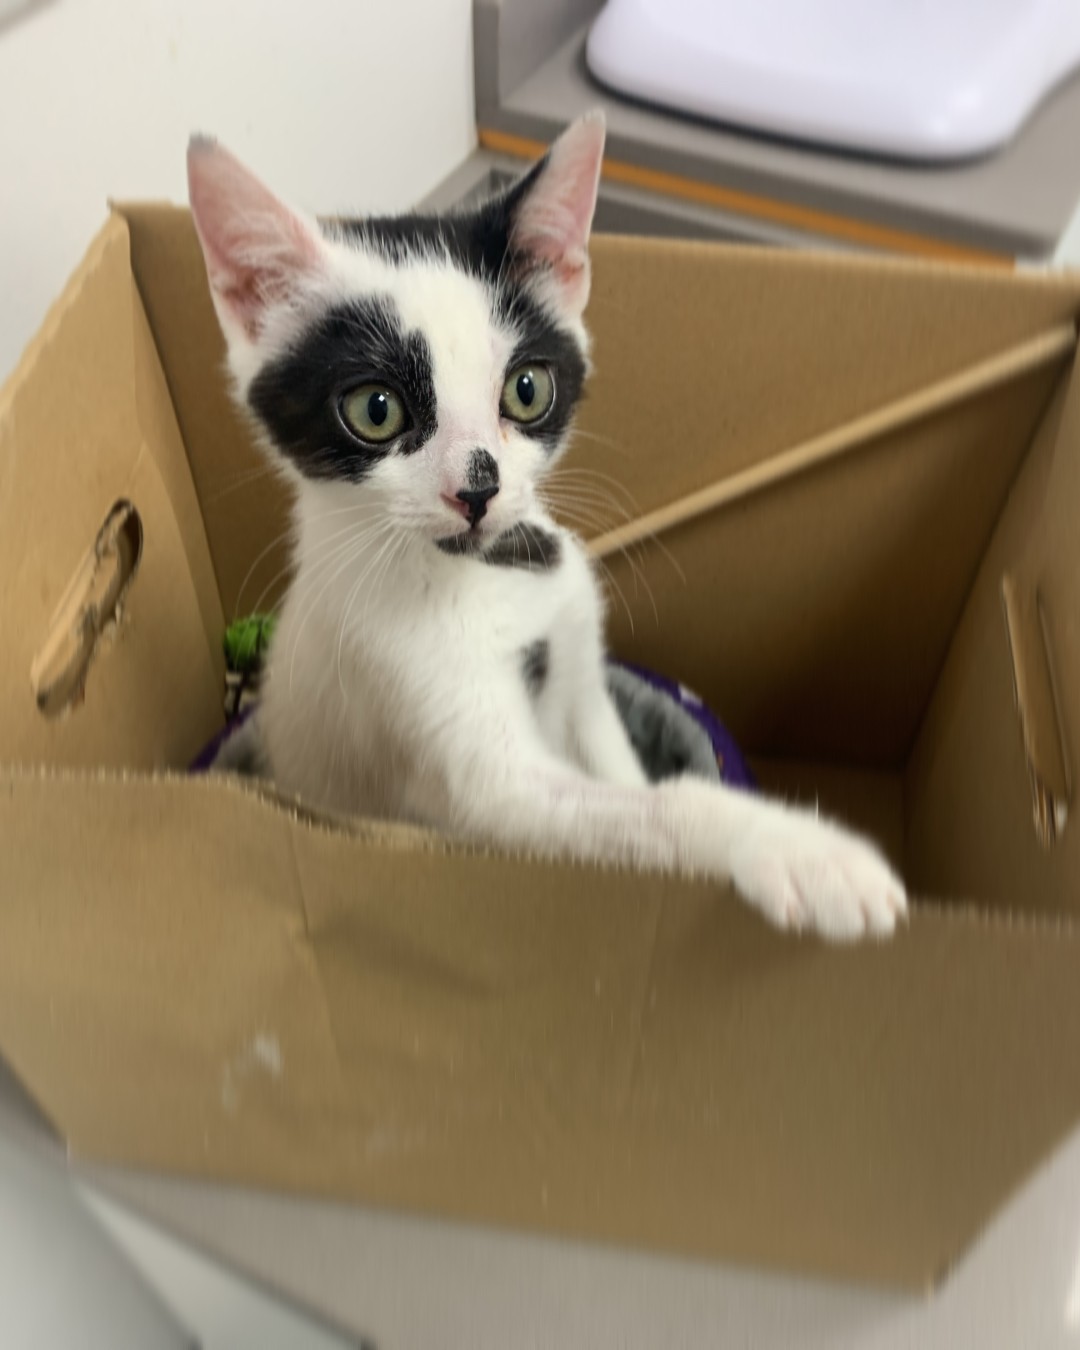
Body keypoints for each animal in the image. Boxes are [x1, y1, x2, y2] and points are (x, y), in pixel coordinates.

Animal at [190, 113, 907, 939]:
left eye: (527, 390)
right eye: (375, 409)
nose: (478, 489)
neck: (484, 573)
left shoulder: (582, 679)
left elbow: (621, 765)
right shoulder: (482, 781)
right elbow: (647, 809)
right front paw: (804, 850)